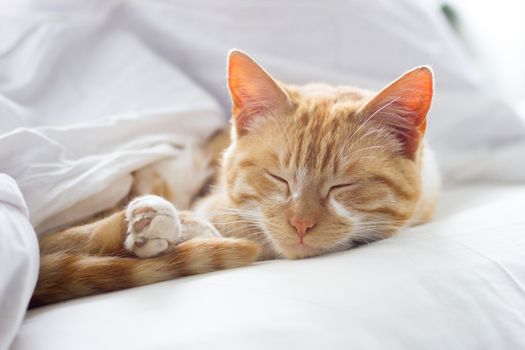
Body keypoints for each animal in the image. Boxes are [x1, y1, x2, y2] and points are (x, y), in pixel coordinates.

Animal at [29, 50, 438, 308]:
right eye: (278, 178)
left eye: (343, 185)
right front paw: (196, 227)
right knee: (56, 240)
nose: (301, 224)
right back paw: (151, 221)